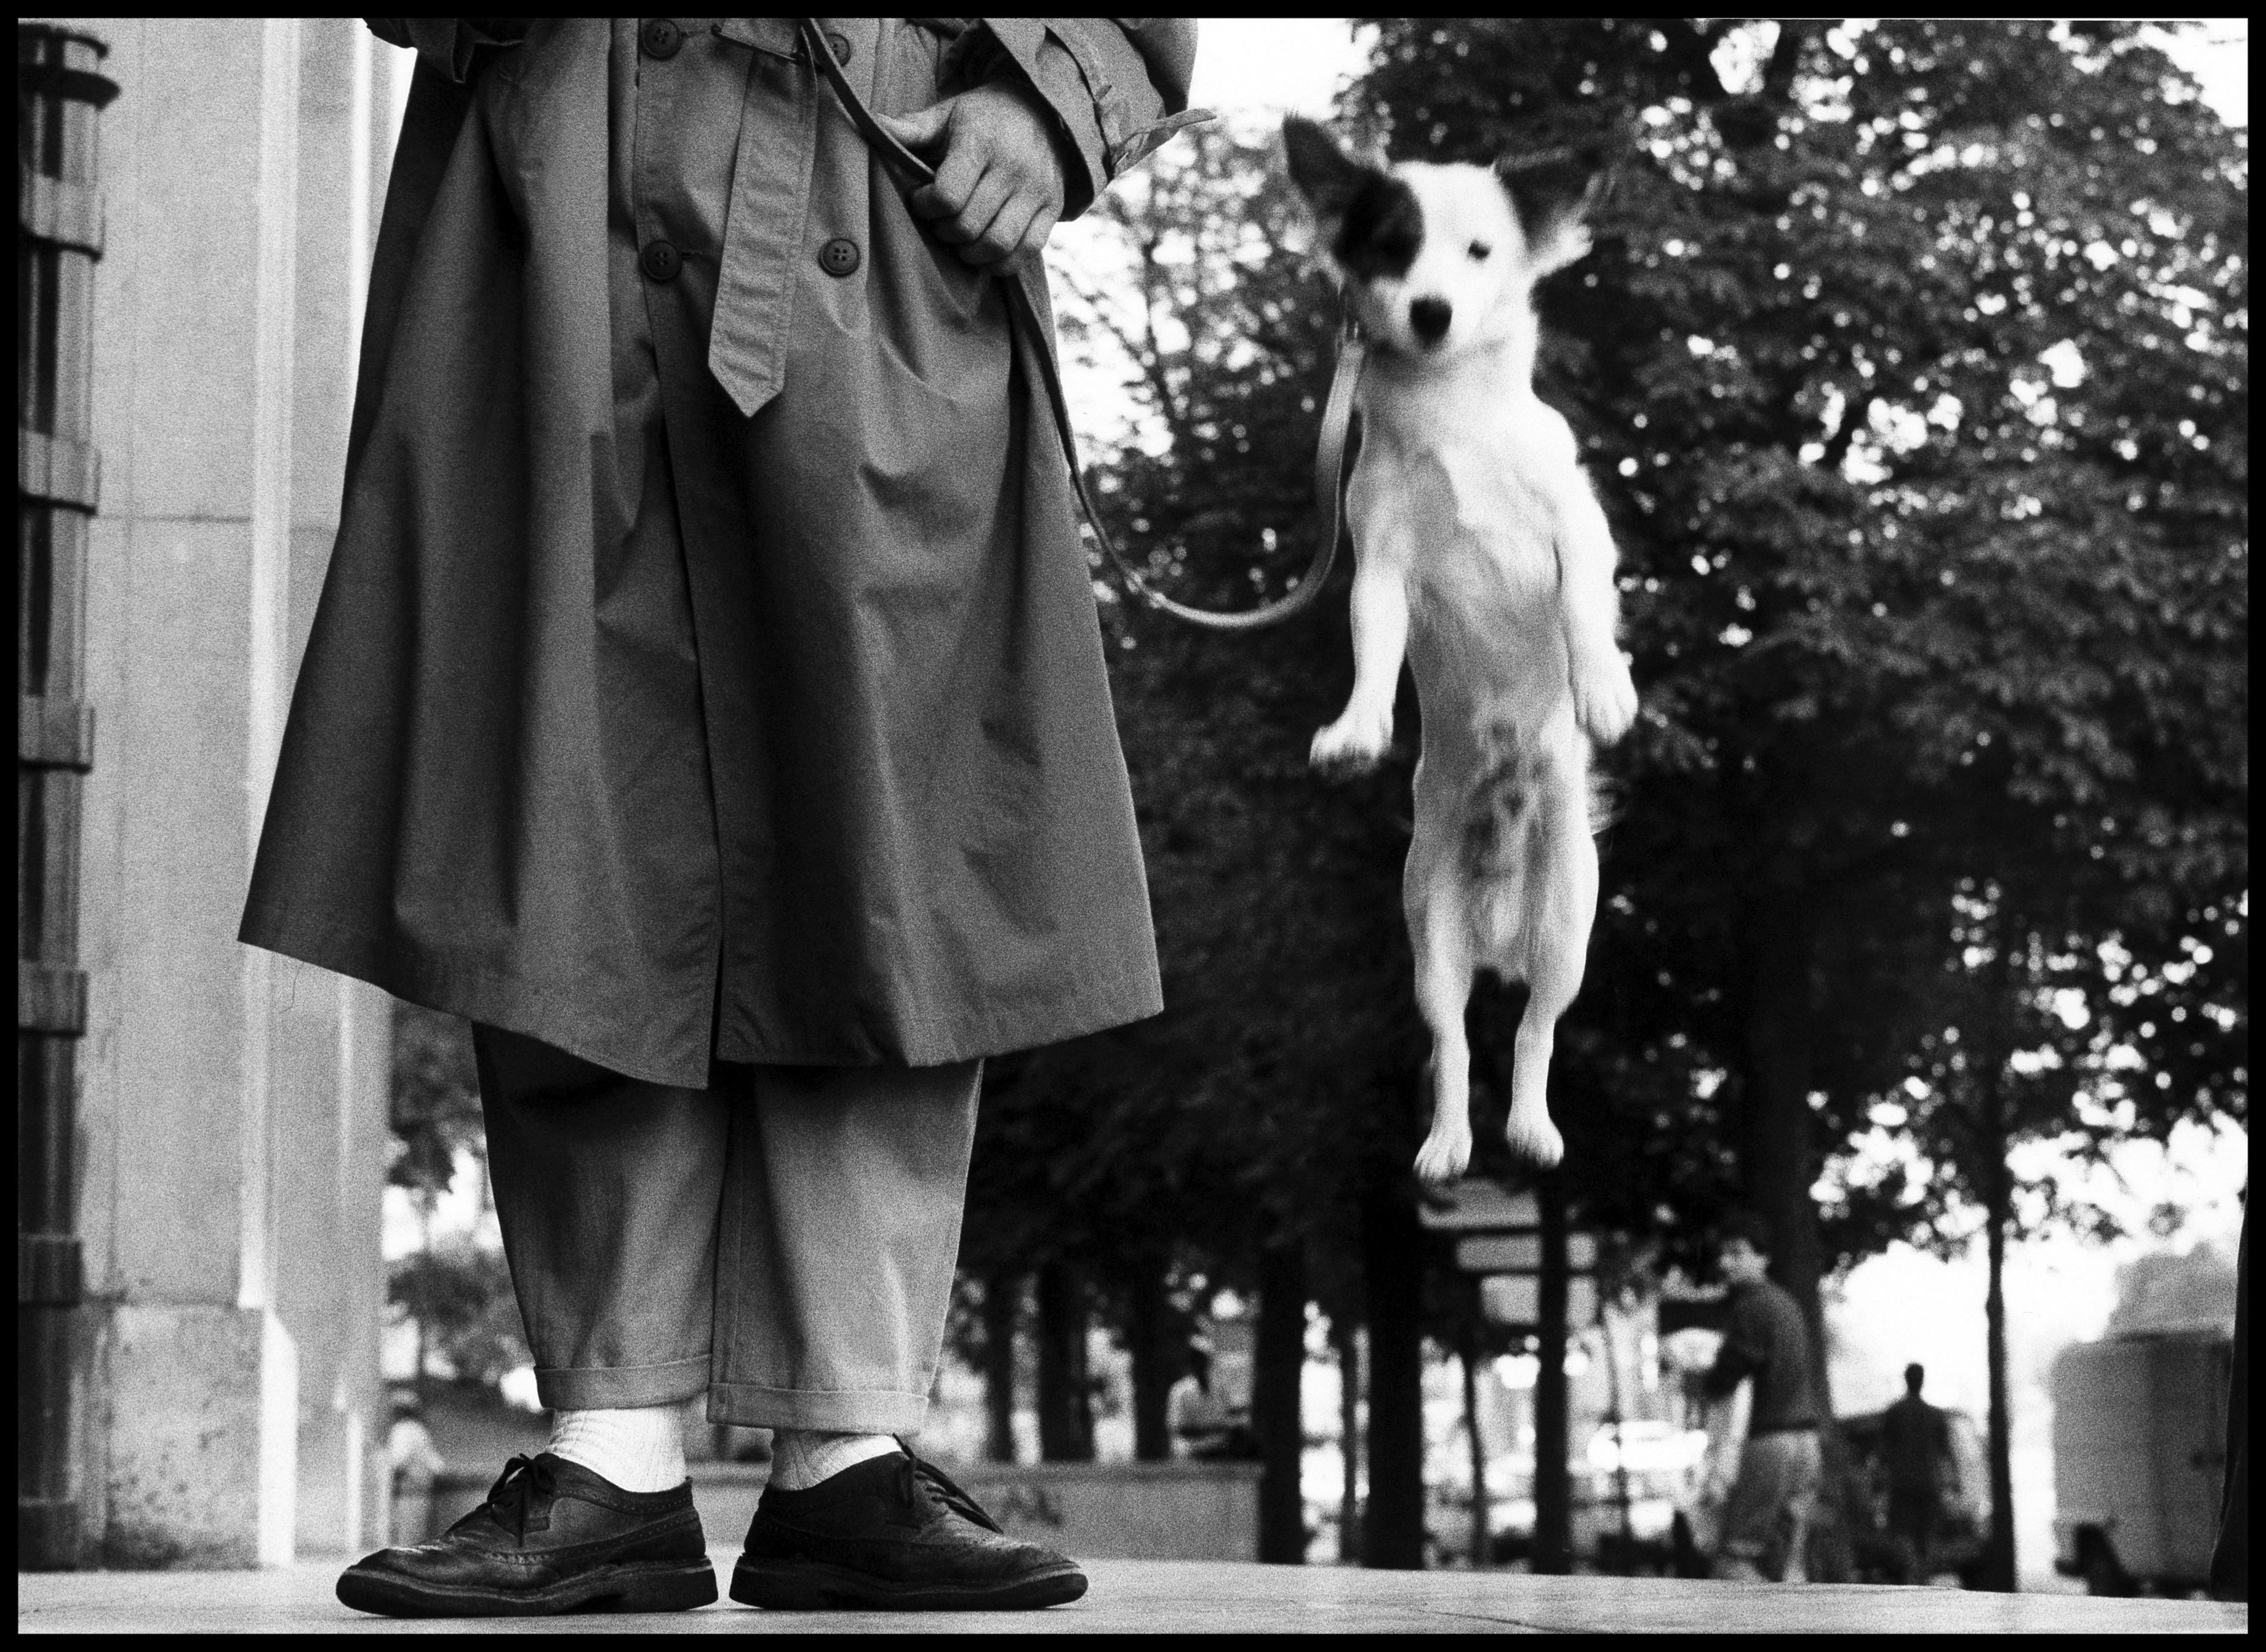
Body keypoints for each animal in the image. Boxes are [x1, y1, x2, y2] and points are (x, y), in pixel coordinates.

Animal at [1287, 122, 1641, 1178]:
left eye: (1481, 253)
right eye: (1392, 248)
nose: (1431, 311)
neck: (1453, 424)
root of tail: (1497, 922)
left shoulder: (1576, 527)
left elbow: (1586, 608)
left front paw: (1603, 690)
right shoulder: (1378, 564)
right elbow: (1371, 650)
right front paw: (1357, 730)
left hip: (1569, 928)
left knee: (1535, 1029)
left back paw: (1529, 1126)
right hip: (1429, 940)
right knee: (1452, 1040)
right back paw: (1450, 1142)